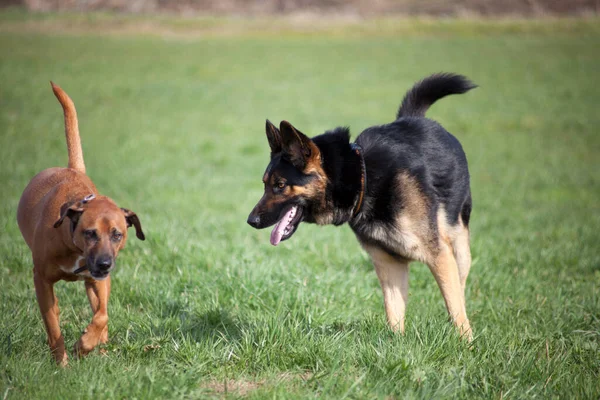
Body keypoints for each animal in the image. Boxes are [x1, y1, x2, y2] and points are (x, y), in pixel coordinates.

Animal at [17, 82, 144, 366]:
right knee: (55, 313)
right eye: (89, 233)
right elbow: (53, 326)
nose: (105, 263)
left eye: (118, 234)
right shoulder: (41, 279)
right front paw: (62, 364)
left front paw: (85, 345)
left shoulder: (99, 280)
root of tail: (72, 168)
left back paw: (102, 348)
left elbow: (103, 315)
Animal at [248, 74, 478, 338]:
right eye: (265, 185)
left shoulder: (438, 255)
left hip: (459, 247)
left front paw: (466, 344)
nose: (251, 221)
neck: (362, 178)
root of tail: (415, 118)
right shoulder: (389, 263)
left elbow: (455, 309)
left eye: (280, 185)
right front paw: (397, 344)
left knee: (459, 289)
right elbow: (394, 314)